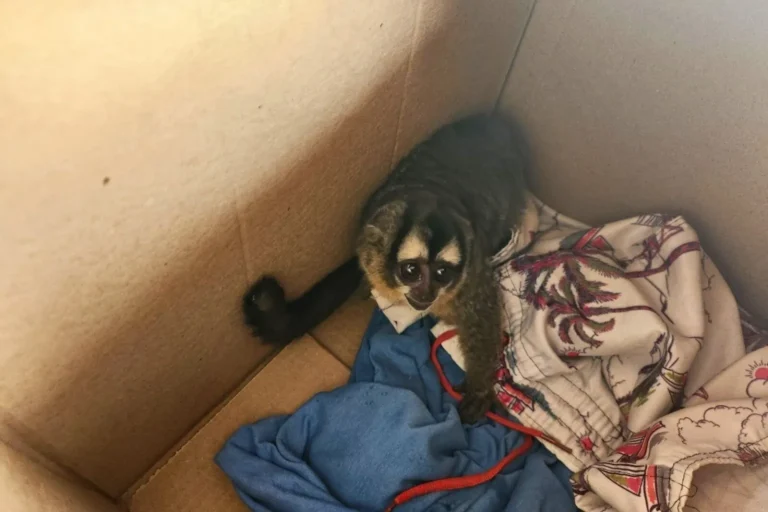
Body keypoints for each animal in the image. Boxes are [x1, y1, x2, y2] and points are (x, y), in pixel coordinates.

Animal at [242, 114, 528, 424]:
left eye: (442, 273)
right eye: (411, 271)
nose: (427, 293)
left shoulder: (471, 275)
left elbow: (482, 313)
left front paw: (479, 390)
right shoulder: (368, 256)